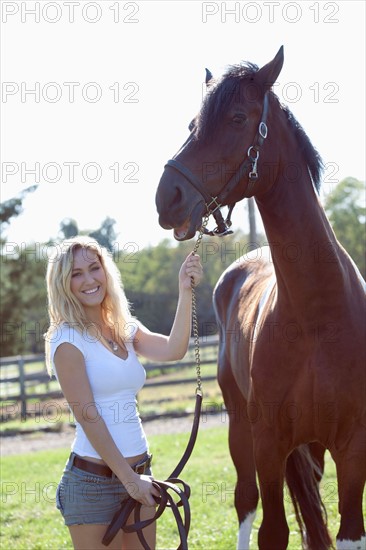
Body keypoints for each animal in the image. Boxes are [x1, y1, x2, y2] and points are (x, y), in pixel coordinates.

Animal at [155, 47, 366, 550]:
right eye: (193, 123)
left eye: (236, 117)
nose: (167, 197)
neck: (315, 316)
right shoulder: (268, 442)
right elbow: (272, 530)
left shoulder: (354, 448)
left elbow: (348, 530)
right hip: (240, 430)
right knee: (246, 503)